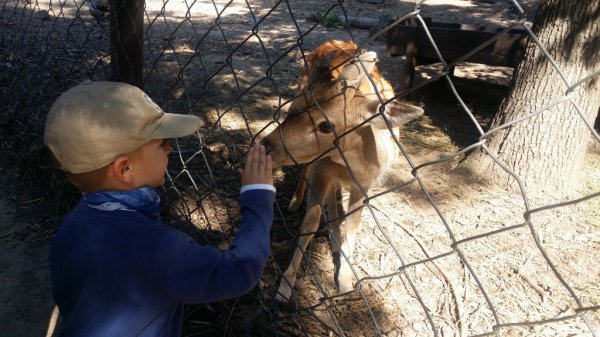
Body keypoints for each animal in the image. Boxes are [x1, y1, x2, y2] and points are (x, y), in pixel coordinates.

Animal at [260, 40, 424, 302]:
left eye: (326, 125)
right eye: (292, 109)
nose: (266, 145)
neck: (354, 165)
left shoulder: (363, 186)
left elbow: (353, 224)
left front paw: (345, 281)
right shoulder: (322, 169)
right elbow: (311, 221)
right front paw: (285, 286)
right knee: (308, 173)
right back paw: (296, 203)